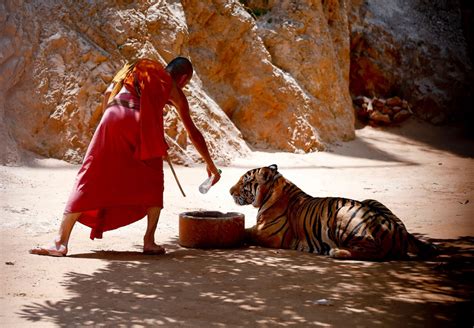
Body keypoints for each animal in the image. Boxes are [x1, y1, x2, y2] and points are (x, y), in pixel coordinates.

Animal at [230, 165, 436, 260]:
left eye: (244, 181)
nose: (230, 191)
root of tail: (400, 233)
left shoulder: (268, 234)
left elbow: (246, 231)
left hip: (342, 213)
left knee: (376, 251)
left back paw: (337, 252)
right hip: (370, 200)